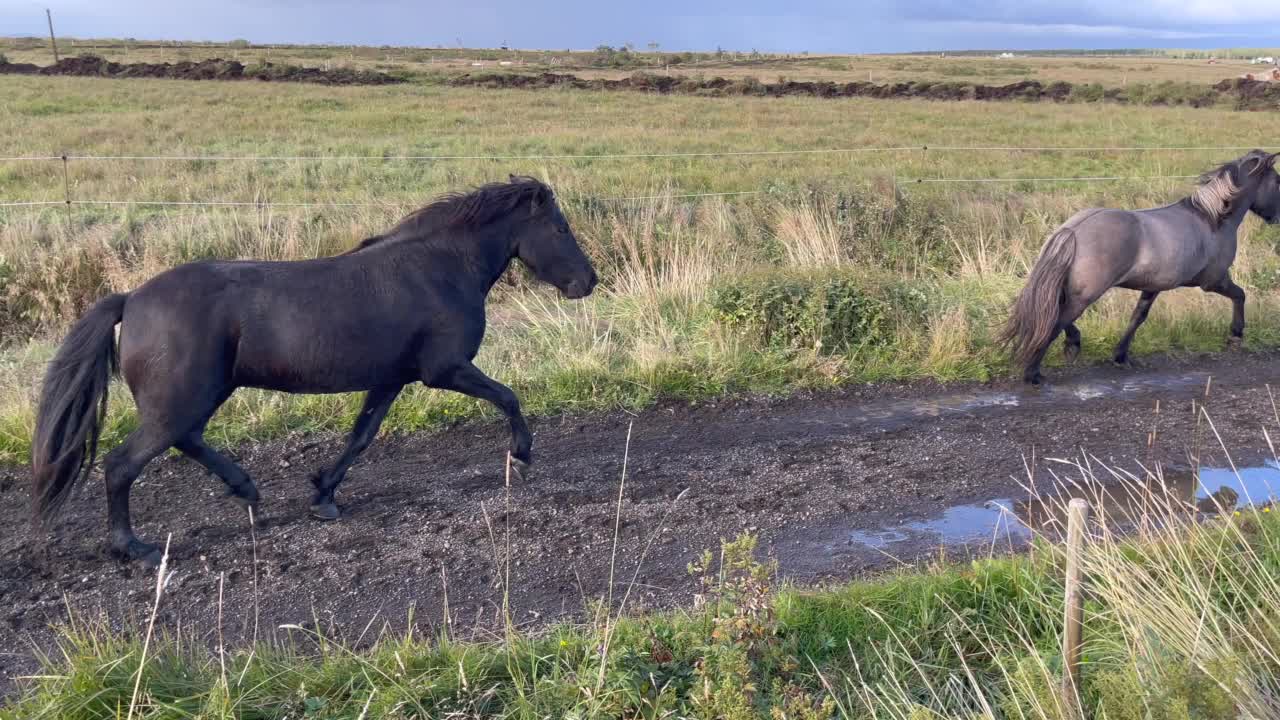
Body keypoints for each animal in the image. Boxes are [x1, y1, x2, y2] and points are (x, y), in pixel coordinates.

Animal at [30, 175, 599, 566]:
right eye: (560, 227)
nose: (588, 281)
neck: (440, 267)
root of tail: (130, 299)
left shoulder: (391, 378)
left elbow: (360, 437)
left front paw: (323, 493)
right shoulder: (445, 369)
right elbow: (508, 396)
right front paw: (521, 454)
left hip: (200, 396)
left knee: (185, 441)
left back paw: (246, 490)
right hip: (182, 400)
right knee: (122, 464)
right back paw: (136, 547)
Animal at [998, 148, 1280, 384]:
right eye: (1277, 181)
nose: (1276, 218)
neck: (1212, 219)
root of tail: (1073, 230)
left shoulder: (1153, 286)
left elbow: (1138, 317)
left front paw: (1120, 356)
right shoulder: (1213, 281)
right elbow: (1240, 295)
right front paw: (1236, 334)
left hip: (1072, 290)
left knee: (1058, 316)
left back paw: (1072, 345)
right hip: (1086, 294)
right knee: (1056, 321)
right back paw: (1033, 373)